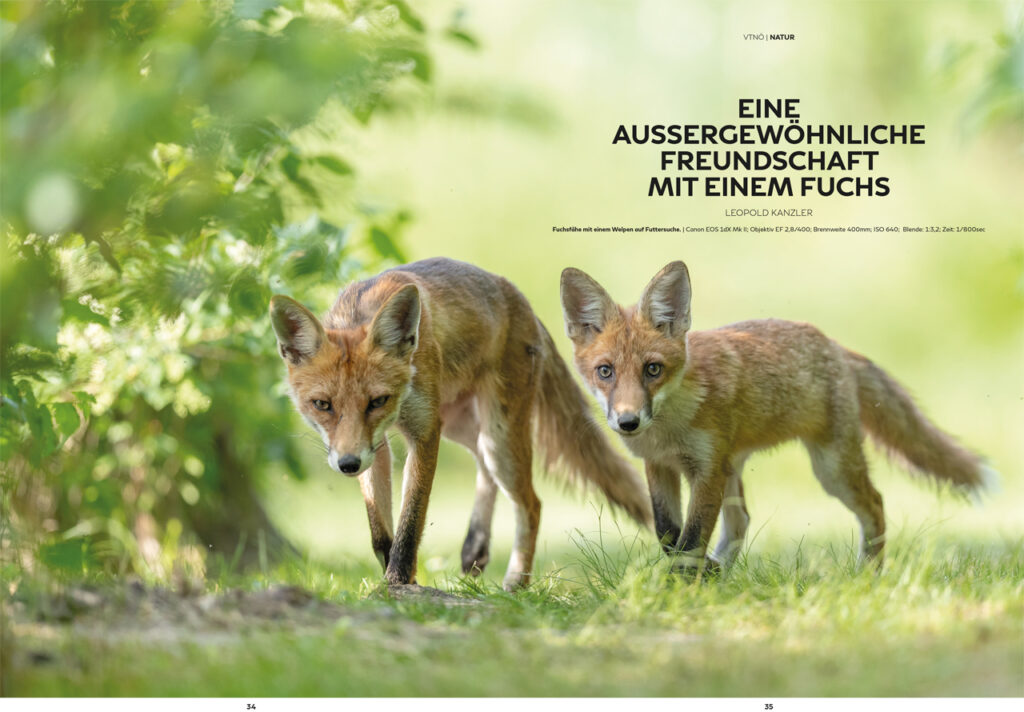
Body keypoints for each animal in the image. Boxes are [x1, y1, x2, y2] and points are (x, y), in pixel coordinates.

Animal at [270, 257, 652, 590]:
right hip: (462, 426)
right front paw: (396, 574)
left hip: (497, 436)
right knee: (483, 465)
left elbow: (411, 521)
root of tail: (522, 303)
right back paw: (476, 546)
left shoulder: (424, 431)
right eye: (322, 405)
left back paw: (516, 582)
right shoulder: (373, 446)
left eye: (377, 401)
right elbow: (379, 531)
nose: (348, 465)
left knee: (530, 502)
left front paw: (397, 584)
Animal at [560, 260, 997, 574]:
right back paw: (722, 573)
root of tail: (835, 345)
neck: (669, 429)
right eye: (605, 371)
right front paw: (690, 577)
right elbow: (669, 535)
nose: (628, 422)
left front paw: (683, 588)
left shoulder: (705, 469)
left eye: (653, 369)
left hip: (830, 468)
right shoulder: (661, 466)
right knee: (741, 521)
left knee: (875, 504)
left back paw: (868, 576)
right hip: (735, 468)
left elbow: (692, 538)